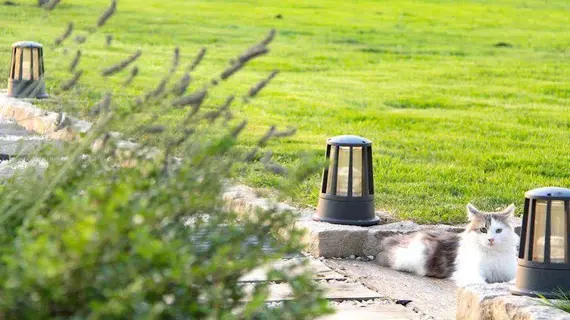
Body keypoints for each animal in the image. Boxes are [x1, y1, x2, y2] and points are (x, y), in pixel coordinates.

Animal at [374, 205, 516, 288]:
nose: (491, 239)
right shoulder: (469, 272)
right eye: (483, 230)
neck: (492, 253)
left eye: (499, 231)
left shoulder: (510, 270)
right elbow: (480, 283)